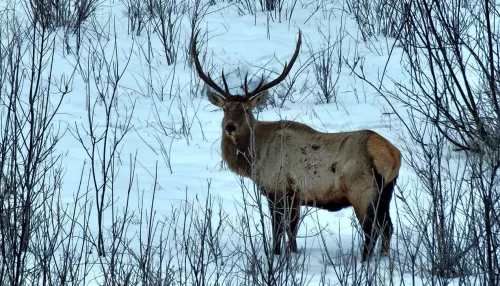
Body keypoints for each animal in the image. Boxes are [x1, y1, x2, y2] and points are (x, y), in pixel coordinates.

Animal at [190, 29, 402, 262]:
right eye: (225, 108)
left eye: (246, 110)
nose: (230, 127)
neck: (254, 158)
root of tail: (393, 154)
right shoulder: (296, 196)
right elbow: (292, 231)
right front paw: (294, 255)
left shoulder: (277, 189)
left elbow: (277, 231)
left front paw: (274, 256)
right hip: (386, 191)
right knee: (388, 227)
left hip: (362, 190)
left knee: (371, 230)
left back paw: (364, 263)